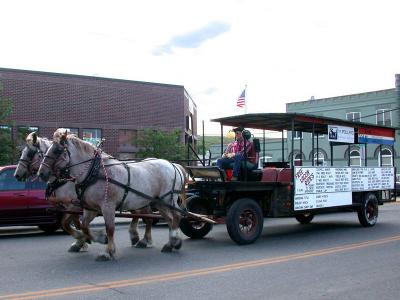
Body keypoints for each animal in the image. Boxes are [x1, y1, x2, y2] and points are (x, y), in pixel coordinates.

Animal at [38, 131, 188, 260]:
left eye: (57, 151)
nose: (41, 173)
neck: (94, 172)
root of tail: (173, 165)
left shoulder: (107, 206)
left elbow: (110, 228)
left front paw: (108, 251)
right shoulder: (91, 208)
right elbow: (84, 226)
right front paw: (99, 238)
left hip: (167, 199)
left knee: (176, 216)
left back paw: (173, 241)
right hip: (158, 202)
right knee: (169, 219)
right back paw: (171, 243)